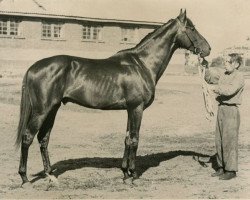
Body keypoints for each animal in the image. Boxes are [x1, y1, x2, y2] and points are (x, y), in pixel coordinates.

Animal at [16, 9, 211, 188]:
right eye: (192, 28)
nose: (208, 49)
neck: (142, 64)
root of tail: (33, 67)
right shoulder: (137, 108)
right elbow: (134, 139)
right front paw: (133, 175)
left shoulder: (130, 109)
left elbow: (127, 138)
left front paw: (125, 173)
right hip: (42, 110)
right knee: (28, 137)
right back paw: (25, 179)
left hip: (53, 108)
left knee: (43, 138)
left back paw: (50, 175)